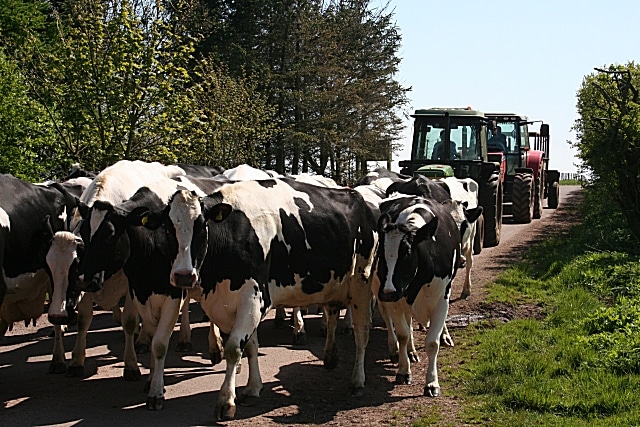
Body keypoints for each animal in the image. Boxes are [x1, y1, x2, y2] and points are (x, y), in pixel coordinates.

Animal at [376, 196, 460, 400]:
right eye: (381, 253)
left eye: (407, 253)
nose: (388, 291)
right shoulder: (396, 301)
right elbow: (403, 334)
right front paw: (403, 371)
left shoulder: (441, 300)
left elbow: (432, 343)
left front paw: (432, 383)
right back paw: (407, 351)